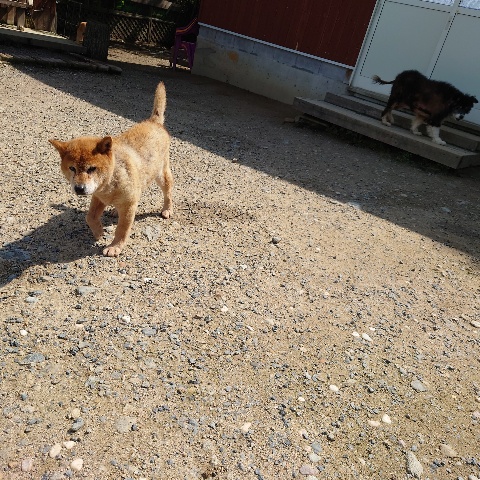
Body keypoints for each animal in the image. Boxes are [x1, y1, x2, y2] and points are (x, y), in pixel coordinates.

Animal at [49, 82, 173, 257]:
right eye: (72, 168)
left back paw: (167, 209)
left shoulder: (128, 205)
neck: (110, 183)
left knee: (168, 192)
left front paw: (115, 246)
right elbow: (90, 217)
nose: (79, 189)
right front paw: (99, 232)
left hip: (162, 175)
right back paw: (114, 211)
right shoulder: (98, 197)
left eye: (92, 168)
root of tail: (153, 122)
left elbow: (122, 229)